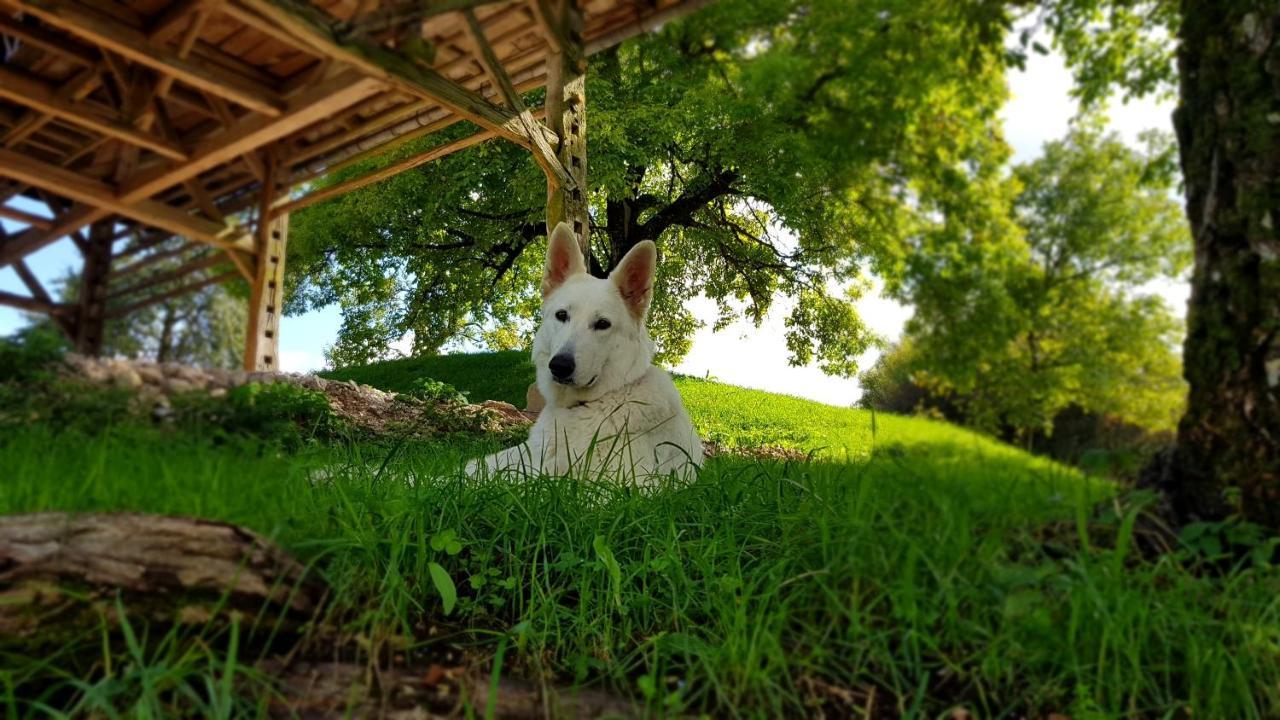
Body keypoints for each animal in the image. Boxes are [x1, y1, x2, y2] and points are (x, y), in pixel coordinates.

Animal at [471, 221, 706, 479]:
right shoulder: (525, 456)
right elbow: (473, 467)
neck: (589, 403)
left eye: (602, 324)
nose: (560, 366)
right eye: (562, 315)